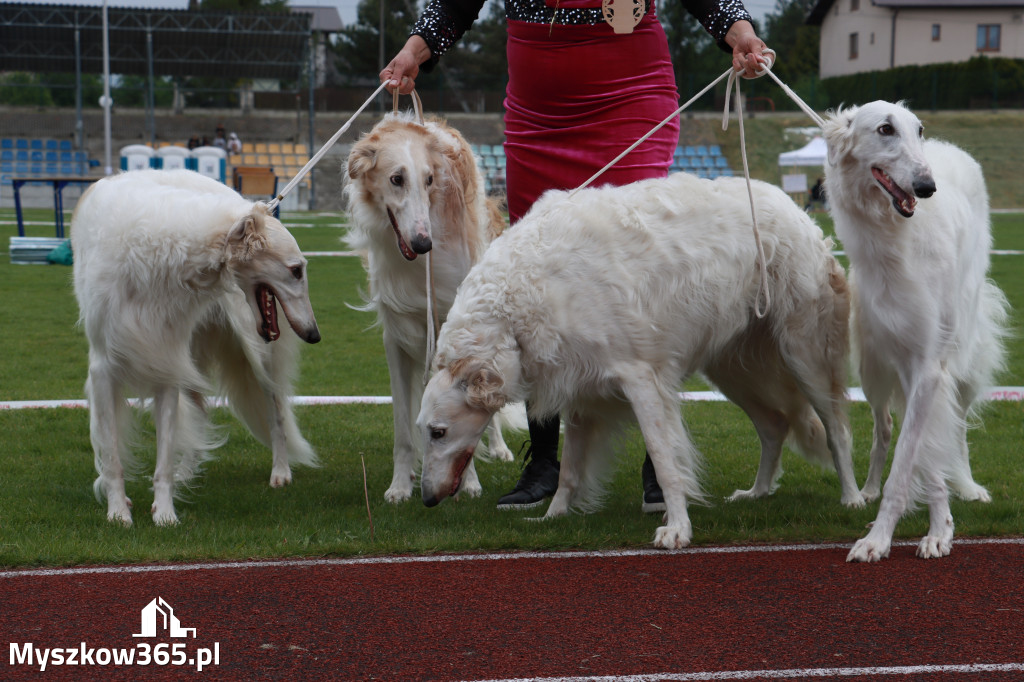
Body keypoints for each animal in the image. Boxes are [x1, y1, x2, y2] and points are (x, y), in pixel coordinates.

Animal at [73, 166, 319, 522]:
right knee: (202, 412)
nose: (314, 334)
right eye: (296, 270)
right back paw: (186, 472)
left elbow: (162, 457)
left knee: (276, 412)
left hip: (255, 355)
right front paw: (119, 511)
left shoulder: (164, 360)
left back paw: (280, 471)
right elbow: (112, 454)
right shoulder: (108, 367)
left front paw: (164, 514)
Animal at [344, 111, 516, 501]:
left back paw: (500, 448)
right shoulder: (397, 335)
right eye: (396, 179)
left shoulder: (452, 323)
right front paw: (399, 485)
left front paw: (469, 482)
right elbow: (403, 427)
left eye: (430, 179)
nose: (424, 243)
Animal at [415, 171, 864, 548]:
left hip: (804, 357)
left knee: (837, 430)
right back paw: (756, 492)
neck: (517, 300)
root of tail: (794, 208)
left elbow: (665, 462)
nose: (426, 500)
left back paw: (854, 498)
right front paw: (552, 517)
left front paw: (677, 528)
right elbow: (570, 471)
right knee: (774, 425)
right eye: (425, 432)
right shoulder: (580, 391)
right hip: (731, 369)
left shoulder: (642, 380)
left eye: (438, 432)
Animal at [823, 99, 1007, 557]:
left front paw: (893, 535)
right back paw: (868, 488)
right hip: (872, 367)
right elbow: (912, 453)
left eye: (917, 129)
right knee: (884, 427)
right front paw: (929, 525)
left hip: (962, 351)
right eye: (885, 129)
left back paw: (969, 485)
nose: (926, 187)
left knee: (957, 422)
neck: (898, 239)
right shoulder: (904, 360)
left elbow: (915, 456)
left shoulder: (928, 364)